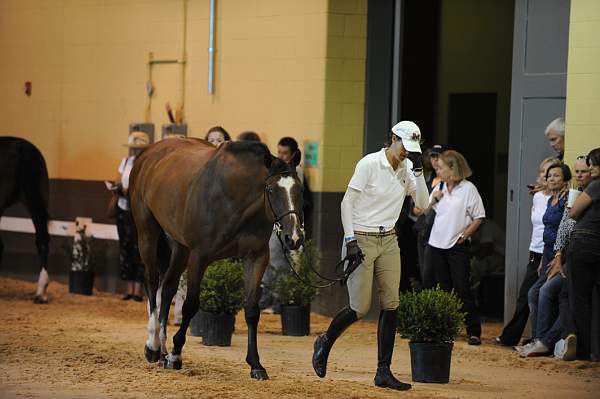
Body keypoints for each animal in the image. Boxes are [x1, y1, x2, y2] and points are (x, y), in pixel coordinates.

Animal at [128, 138, 302, 382]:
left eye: (299, 189)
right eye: (271, 189)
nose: (293, 237)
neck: (233, 198)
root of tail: (148, 153)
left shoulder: (256, 257)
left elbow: (251, 310)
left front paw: (256, 365)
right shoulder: (199, 256)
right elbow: (191, 305)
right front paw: (176, 355)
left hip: (180, 246)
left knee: (169, 286)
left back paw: (162, 351)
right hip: (147, 231)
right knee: (152, 282)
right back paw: (153, 347)